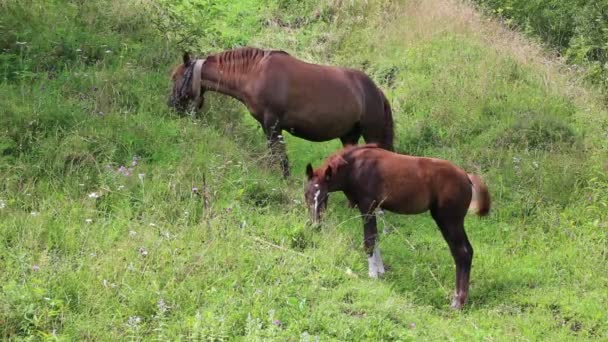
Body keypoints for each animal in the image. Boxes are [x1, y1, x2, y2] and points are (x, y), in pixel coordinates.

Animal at [167, 46, 394, 178]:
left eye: (175, 77)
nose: (171, 106)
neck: (255, 72)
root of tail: (376, 91)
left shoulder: (273, 124)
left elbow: (280, 155)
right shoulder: (266, 126)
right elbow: (272, 153)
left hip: (371, 134)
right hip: (349, 136)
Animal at [302, 143, 490, 308]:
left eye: (324, 196)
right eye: (306, 194)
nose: (315, 225)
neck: (356, 167)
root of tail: (467, 177)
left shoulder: (367, 206)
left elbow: (368, 240)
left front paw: (372, 275)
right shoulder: (375, 208)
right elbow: (376, 237)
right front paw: (380, 271)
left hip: (449, 220)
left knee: (462, 252)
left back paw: (457, 302)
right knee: (467, 251)